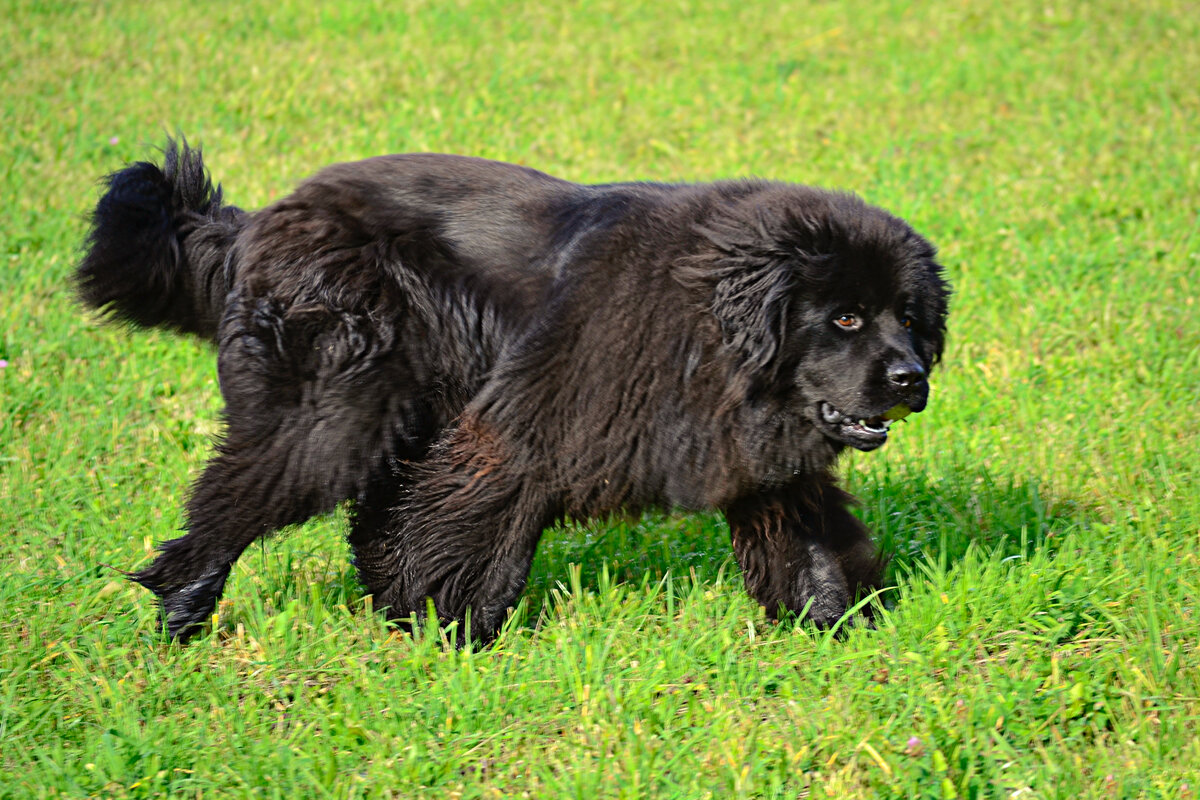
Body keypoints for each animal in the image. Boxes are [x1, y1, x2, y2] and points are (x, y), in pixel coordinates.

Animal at [79, 139, 950, 642]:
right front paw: (454, 630)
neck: (711, 322)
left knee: (367, 511)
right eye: (844, 317)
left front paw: (834, 626)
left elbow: (808, 538)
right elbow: (478, 524)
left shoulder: (761, 456)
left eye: (908, 318)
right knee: (242, 491)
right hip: (331, 409)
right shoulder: (526, 428)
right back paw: (182, 608)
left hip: (402, 406)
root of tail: (254, 224)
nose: (911, 378)